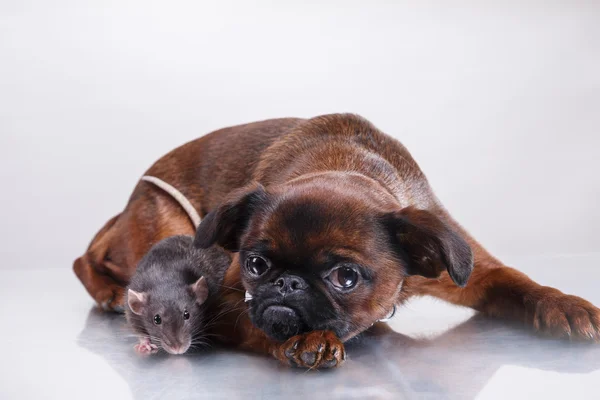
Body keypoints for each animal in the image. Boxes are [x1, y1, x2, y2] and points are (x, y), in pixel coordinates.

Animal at [74, 113, 600, 368]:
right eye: (256, 264)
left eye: (346, 277)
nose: (287, 284)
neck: (345, 163)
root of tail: (134, 196)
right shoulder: (218, 305)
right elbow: (259, 327)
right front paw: (306, 340)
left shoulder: (476, 271)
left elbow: (519, 282)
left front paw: (566, 305)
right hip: (164, 224)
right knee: (85, 260)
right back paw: (109, 293)